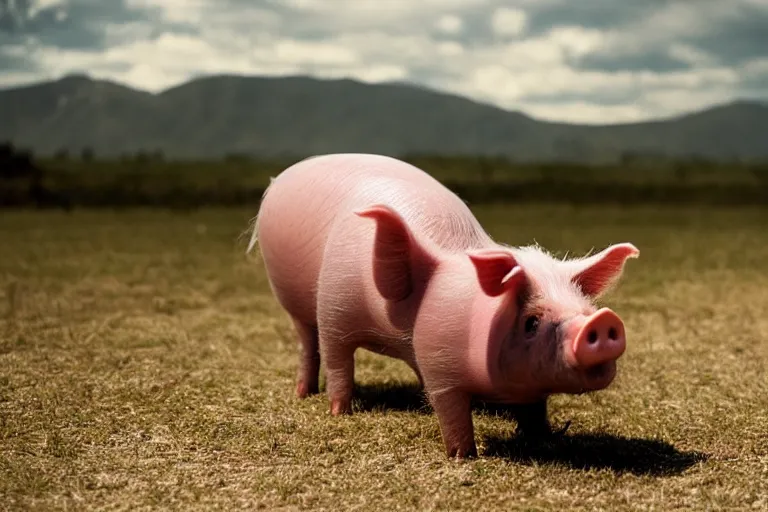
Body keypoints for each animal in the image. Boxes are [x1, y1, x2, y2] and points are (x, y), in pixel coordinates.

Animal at [249, 153, 640, 460]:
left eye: (585, 307)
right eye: (531, 321)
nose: (602, 322)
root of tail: (279, 179)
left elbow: (533, 407)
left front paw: (542, 435)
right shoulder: (434, 368)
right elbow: (447, 409)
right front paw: (461, 455)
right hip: (309, 308)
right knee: (316, 348)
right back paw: (312, 398)